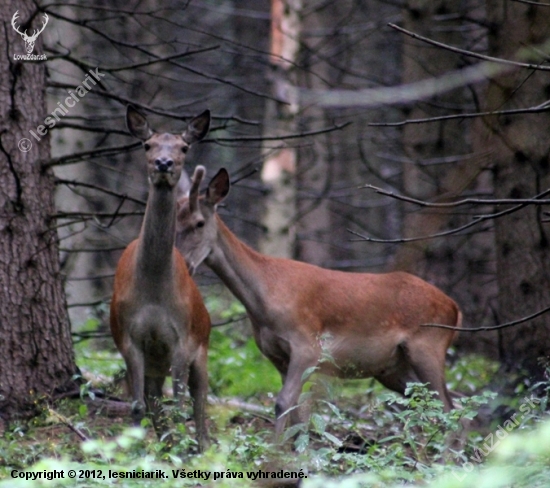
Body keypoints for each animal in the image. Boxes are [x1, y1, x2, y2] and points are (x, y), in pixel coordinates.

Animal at [109, 106, 211, 450]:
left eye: (184, 147)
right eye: (147, 145)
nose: (163, 164)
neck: (153, 290)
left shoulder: (182, 340)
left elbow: (180, 406)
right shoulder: (129, 338)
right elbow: (138, 406)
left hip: (203, 345)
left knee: (200, 402)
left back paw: (201, 447)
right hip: (156, 362)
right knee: (155, 402)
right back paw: (167, 445)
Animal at [176, 167, 462, 438]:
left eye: (199, 223)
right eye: (174, 221)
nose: (183, 264)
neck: (264, 302)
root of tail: (455, 308)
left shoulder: (307, 346)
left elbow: (283, 403)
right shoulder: (277, 356)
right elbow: (298, 413)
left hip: (428, 346)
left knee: (450, 409)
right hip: (392, 368)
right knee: (440, 406)